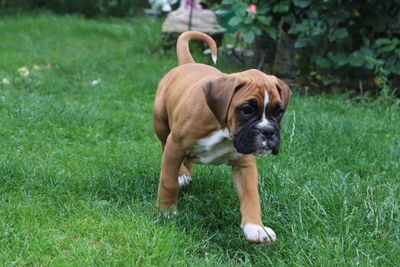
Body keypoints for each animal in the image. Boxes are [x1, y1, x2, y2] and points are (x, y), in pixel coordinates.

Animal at [153, 30, 290, 245]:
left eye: (279, 112)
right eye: (246, 110)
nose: (268, 131)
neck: (224, 130)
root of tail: (188, 63)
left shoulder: (245, 164)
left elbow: (251, 196)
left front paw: (255, 227)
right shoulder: (175, 146)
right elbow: (167, 180)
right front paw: (166, 212)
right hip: (162, 125)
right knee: (166, 147)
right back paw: (181, 174)